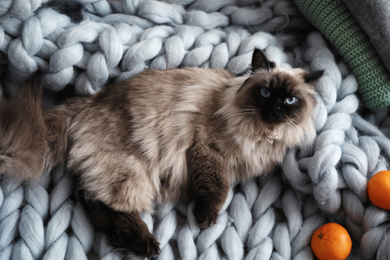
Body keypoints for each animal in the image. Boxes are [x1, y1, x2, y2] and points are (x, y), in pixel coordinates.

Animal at [0, 49, 322, 256]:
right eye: (265, 93)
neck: (261, 133)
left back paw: (127, 239)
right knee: (106, 203)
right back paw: (146, 244)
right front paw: (206, 218)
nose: (277, 109)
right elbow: (217, 188)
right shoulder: (208, 150)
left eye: (291, 100)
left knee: (89, 198)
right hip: (133, 172)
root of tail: (85, 103)